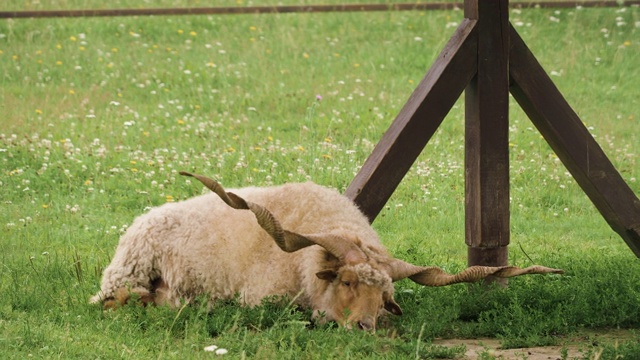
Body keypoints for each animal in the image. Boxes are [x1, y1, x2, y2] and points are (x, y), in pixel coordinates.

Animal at [90, 172, 560, 330]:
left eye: (386, 297)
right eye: (347, 281)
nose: (366, 327)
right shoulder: (262, 298)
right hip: (126, 275)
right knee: (117, 302)